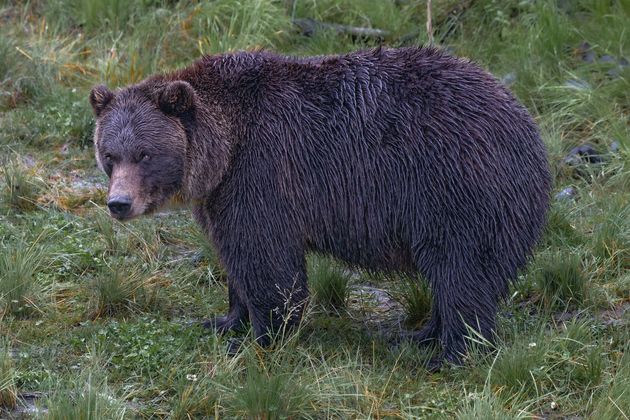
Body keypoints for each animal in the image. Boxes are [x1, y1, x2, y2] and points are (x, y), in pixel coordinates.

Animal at [89, 46, 552, 368]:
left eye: (145, 154)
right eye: (109, 154)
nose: (119, 203)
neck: (222, 152)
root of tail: (529, 128)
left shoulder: (263, 174)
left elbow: (268, 262)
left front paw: (261, 337)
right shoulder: (220, 196)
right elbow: (233, 256)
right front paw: (224, 321)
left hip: (456, 190)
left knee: (461, 271)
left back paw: (450, 354)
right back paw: (419, 334)